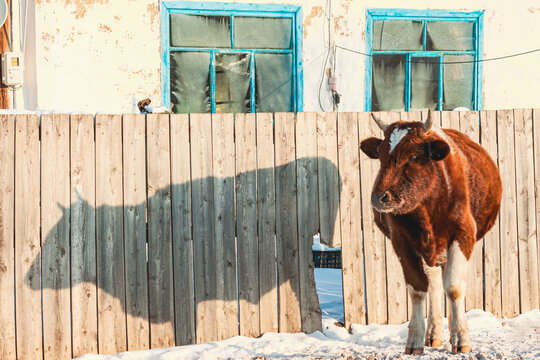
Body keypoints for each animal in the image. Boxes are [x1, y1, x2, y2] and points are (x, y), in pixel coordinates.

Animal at [358, 110, 502, 354]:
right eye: (380, 156)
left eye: (413, 156)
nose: (379, 197)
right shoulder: (401, 241)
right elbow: (418, 288)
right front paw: (414, 340)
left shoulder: (463, 235)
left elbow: (454, 288)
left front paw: (461, 338)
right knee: (434, 283)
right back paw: (433, 333)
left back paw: (452, 330)